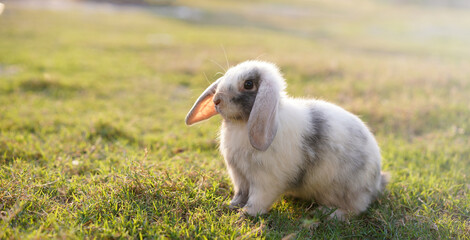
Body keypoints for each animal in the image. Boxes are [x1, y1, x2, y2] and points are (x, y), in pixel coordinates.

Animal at [185, 60, 388, 219]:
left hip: (348, 191)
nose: (216, 100)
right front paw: (230, 206)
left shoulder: (265, 180)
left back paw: (326, 213)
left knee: (356, 209)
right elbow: (240, 194)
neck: (242, 124)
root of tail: (376, 180)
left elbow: (258, 199)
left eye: (248, 84)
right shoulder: (240, 176)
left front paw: (246, 214)